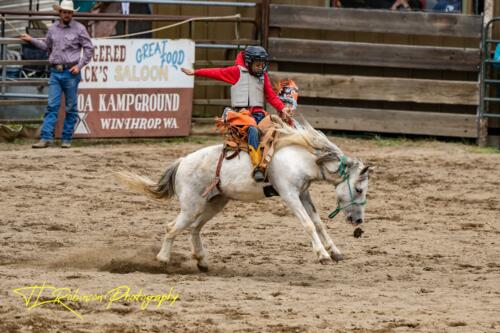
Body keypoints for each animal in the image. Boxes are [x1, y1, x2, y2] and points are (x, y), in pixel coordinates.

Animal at [113, 119, 372, 270]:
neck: (301, 158)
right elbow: (308, 224)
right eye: (359, 189)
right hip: (191, 205)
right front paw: (322, 255)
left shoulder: (304, 194)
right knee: (171, 228)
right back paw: (163, 260)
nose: (358, 220)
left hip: (215, 202)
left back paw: (202, 261)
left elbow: (318, 223)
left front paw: (335, 252)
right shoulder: (289, 194)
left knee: (195, 228)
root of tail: (182, 161)